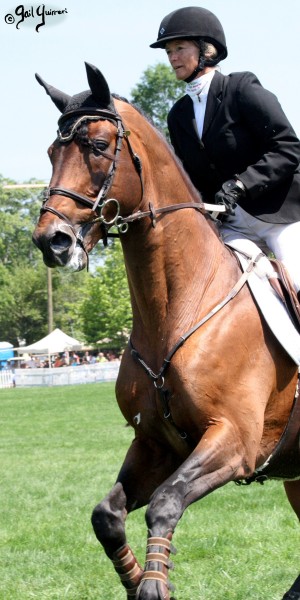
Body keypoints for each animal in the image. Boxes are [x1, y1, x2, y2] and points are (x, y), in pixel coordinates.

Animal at [33, 63, 300, 596]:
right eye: (52, 152)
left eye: (98, 145)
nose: (51, 241)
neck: (178, 305)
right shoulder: (154, 444)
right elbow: (107, 514)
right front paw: (137, 579)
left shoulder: (233, 441)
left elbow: (165, 504)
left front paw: (154, 583)